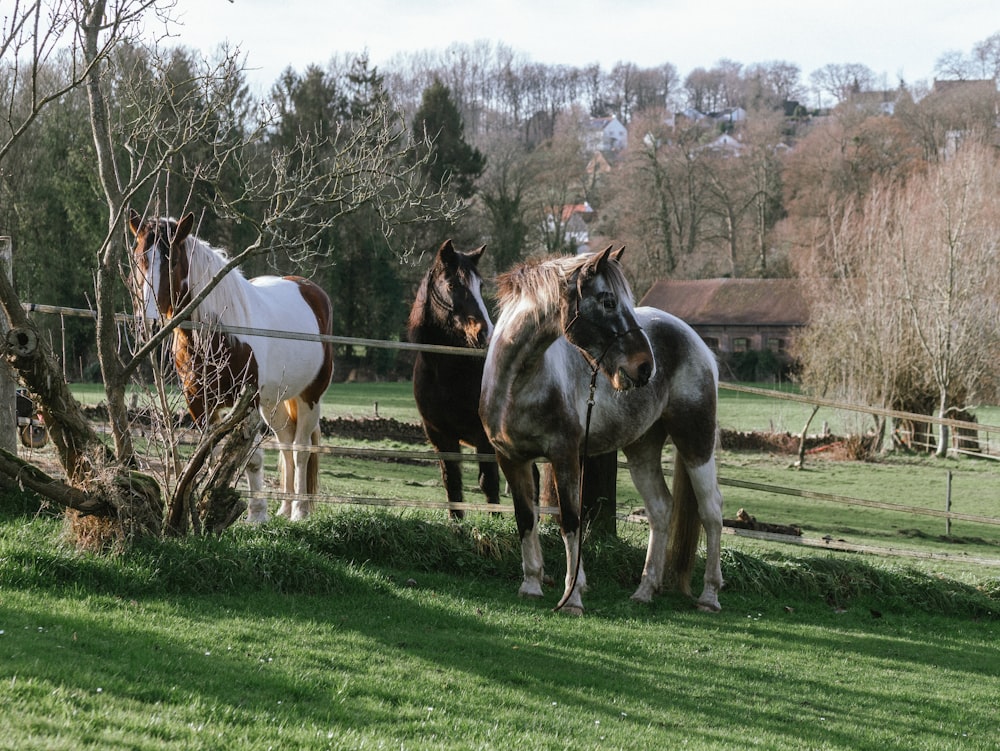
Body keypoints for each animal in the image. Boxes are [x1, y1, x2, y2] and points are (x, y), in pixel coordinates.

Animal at [127, 209, 332, 520]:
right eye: (139, 257)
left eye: (171, 260)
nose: (147, 322)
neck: (218, 333)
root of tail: (310, 290)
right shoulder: (199, 403)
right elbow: (209, 456)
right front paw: (200, 508)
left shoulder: (247, 404)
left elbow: (252, 459)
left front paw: (257, 515)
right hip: (273, 403)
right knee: (286, 444)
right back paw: (284, 509)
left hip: (309, 397)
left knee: (300, 449)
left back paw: (299, 511)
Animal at [406, 244, 500, 520]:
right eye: (451, 285)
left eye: (480, 285)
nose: (484, 333)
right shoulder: (441, 436)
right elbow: (452, 481)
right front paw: (456, 523)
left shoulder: (484, 437)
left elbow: (488, 482)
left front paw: (496, 521)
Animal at [480, 250, 724, 612]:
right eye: (608, 301)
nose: (645, 366)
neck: (517, 383)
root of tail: (696, 341)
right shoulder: (510, 458)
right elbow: (526, 518)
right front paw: (532, 585)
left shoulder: (565, 456)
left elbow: (570, 521)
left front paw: (572, 597)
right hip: (642, 448)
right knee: (661, 509)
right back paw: (644, 590)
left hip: (695, 439)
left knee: (711, 511)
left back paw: (709, 596)